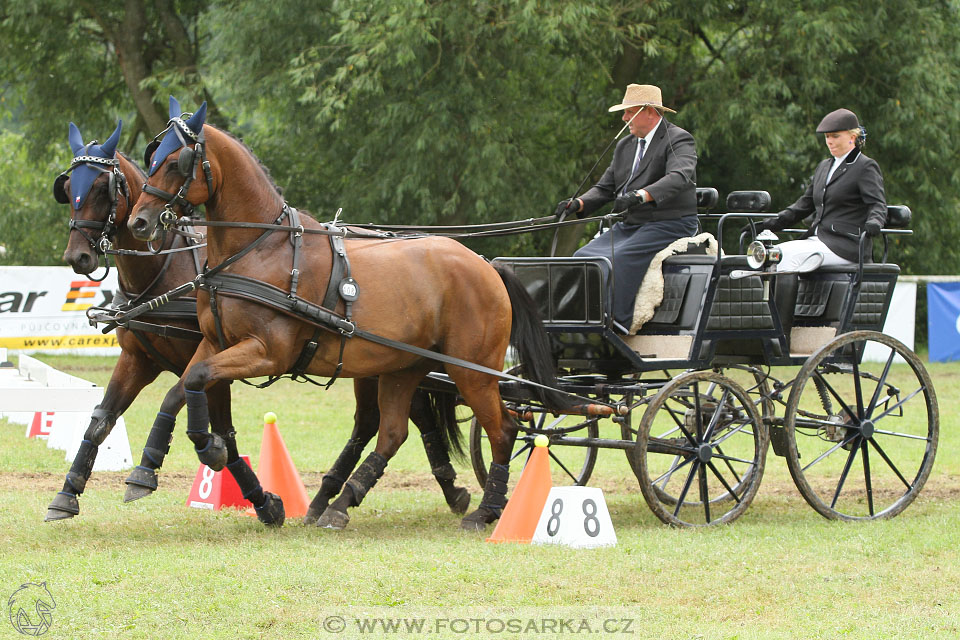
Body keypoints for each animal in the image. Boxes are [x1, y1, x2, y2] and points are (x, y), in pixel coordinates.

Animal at [50, 120, 470, 524]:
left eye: (102, 187)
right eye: (68, 187)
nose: (77, 257)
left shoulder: (222, 358)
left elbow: (206, 416)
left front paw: (158, 471)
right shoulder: (141, 358)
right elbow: (102, 419)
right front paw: (67, 495)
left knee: (404, 417)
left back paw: (443, 491)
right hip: (374, 361)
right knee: (379, 420)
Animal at [127, 99, 564, 528]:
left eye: (176, 162)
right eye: (152, 159)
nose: (139, 222)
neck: (258, 249)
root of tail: (486, 264)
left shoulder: (267, 353)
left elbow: (196, 380)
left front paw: (208, 449)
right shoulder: (216, 343)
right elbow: (182, 387)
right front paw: (153, 467)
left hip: (471, 371)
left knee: (503, 429)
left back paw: (487, 510)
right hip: (403, 368)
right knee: (392, 433)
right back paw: (339, 505)